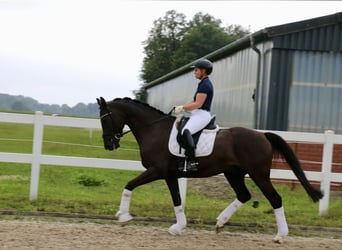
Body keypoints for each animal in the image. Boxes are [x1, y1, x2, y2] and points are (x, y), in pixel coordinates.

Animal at [96, 96, 324, 243]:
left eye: (105, 117)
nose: (109, 144)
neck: (153, 129)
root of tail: (263, 135)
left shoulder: (157, 170)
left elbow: (129, 185)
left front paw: (123, 217)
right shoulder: (169, 175)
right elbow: (176, 200)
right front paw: (178, 227)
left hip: (259, 174)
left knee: (275, 199)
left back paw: (280, 236)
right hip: (233, 173)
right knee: (244, 195)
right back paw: (220, 223)